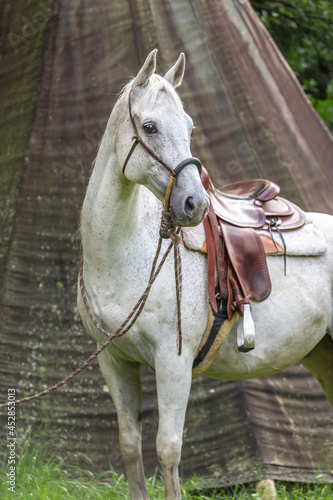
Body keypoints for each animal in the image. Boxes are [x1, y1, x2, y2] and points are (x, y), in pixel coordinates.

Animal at [77, 49, 332, 500]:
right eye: (149, 126)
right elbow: (130, 446)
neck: (124, 254)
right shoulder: (114, 360)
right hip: (323, 354)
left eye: (191, 126)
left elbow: (168, 450)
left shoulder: (173, 361)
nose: (195, 204)